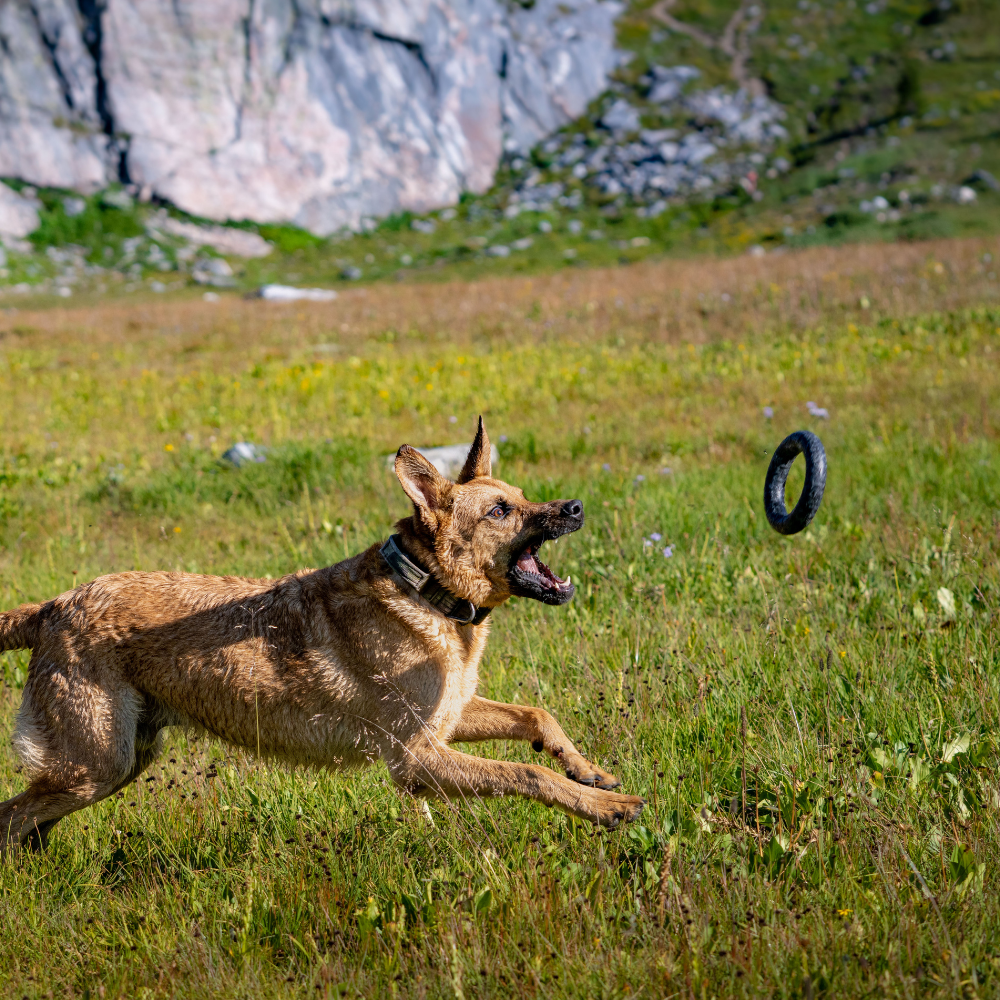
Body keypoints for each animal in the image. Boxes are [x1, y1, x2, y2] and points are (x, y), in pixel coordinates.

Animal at [0, 418, 644, 856]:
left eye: (526, 496)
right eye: (500, 510)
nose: (576, 506)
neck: (426, 591)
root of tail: (54, 605)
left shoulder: (450, 720)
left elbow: (536, 717)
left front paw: (589, 773)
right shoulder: (417, 760)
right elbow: (525, 774)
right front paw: (608, 807)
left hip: (122, 760)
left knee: (31, 820)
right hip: (96, 766)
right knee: (12, 816)